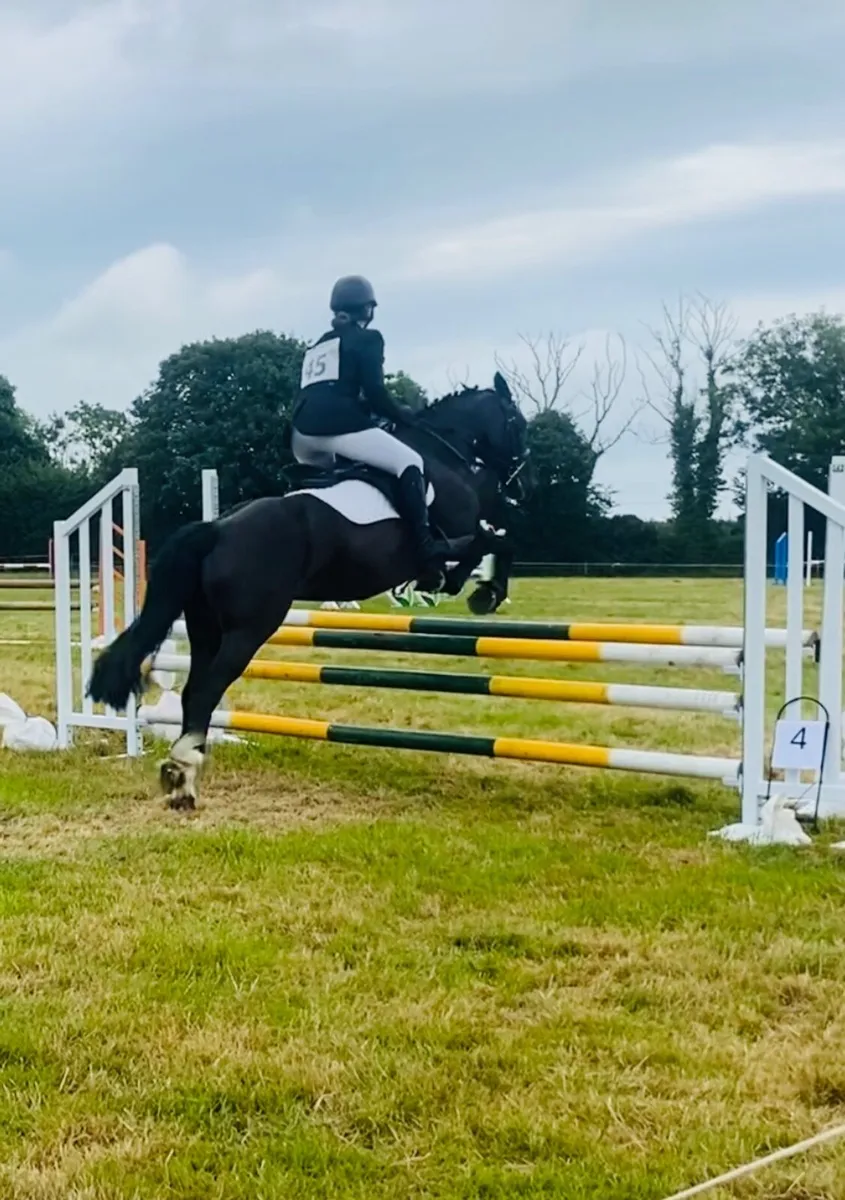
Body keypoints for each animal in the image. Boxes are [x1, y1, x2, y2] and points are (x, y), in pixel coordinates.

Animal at [87, 372, 528, 809]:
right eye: (517, 422)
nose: (520, 480)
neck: (441, 455)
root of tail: (216, 530)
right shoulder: (460, 528)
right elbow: (494, 543)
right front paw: (481, 591)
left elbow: (494, 537)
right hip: (249, 630)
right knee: (205, 692)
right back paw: (182, 775)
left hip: (206, 629)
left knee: (195, 692)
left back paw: (185, 774)